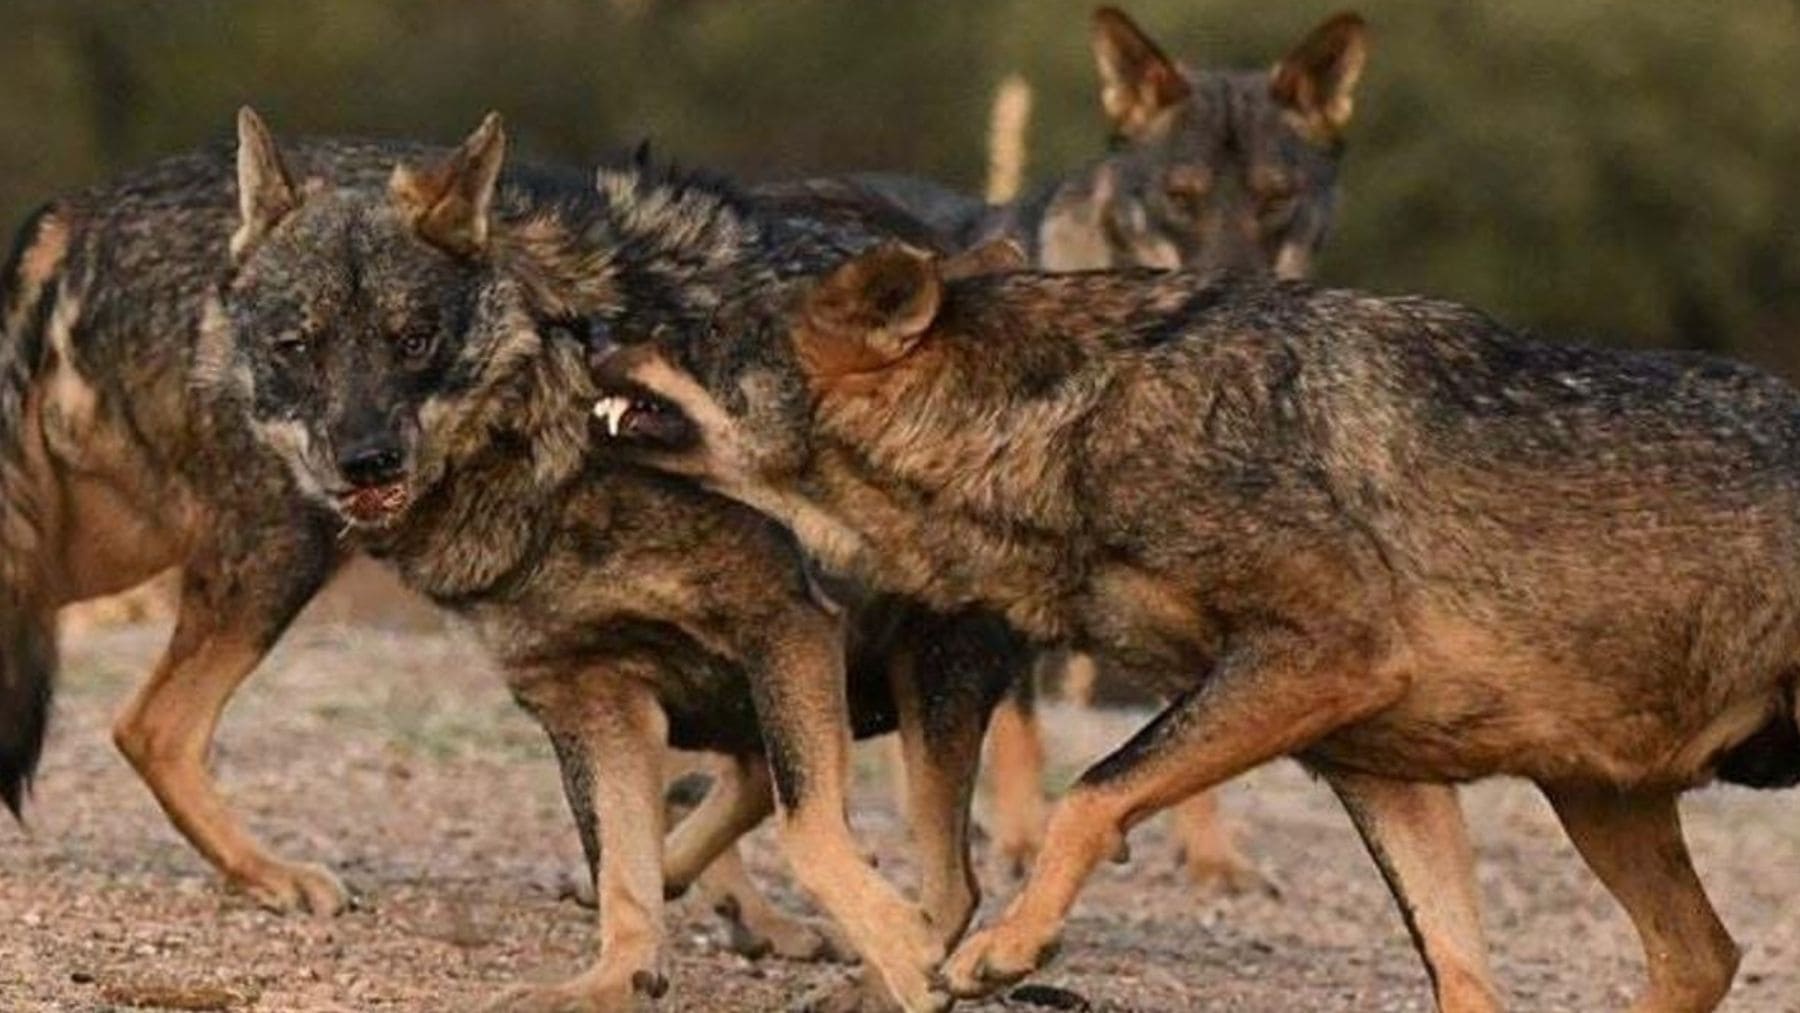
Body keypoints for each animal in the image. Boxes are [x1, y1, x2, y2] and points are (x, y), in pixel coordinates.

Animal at [207, 112, 1039, 1011]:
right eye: (297, 346)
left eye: (415, 340)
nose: (367, 462)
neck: (553, 428)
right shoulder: (587, 693)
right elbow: (622, 865)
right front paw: (620, 974)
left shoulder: (784, 623)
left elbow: (809, 828)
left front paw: (905, 952)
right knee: (746, 791)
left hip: (928, 681)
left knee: (951, 882)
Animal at [594, 242, 1800, 1011]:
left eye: (697, 330)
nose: (595, 334)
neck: (1073, 414)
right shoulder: (1381, 766)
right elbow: (1463, 976)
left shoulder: (1323, 656)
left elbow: (1090, 795)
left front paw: (1008, 948)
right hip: (1597, 797)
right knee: (1703, 954)